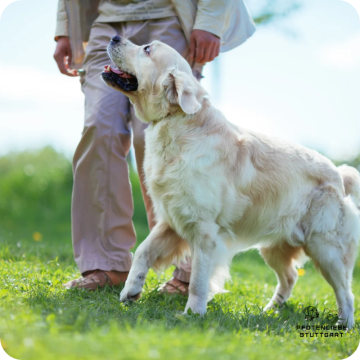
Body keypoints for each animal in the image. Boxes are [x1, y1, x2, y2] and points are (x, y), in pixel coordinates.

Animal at [101, 35, 360, 328]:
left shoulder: (204, 231)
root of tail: (339, 176)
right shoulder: (171, 220)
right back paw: (269, 311)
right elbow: (143, 251)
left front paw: (193, 314)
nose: (114, 37)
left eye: (147, 49)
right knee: (291, 277)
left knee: (346, 292)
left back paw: (344, 325)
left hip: (326, 249)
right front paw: (130, 291)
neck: (177, 122)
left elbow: (198, 280)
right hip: (275, 248)